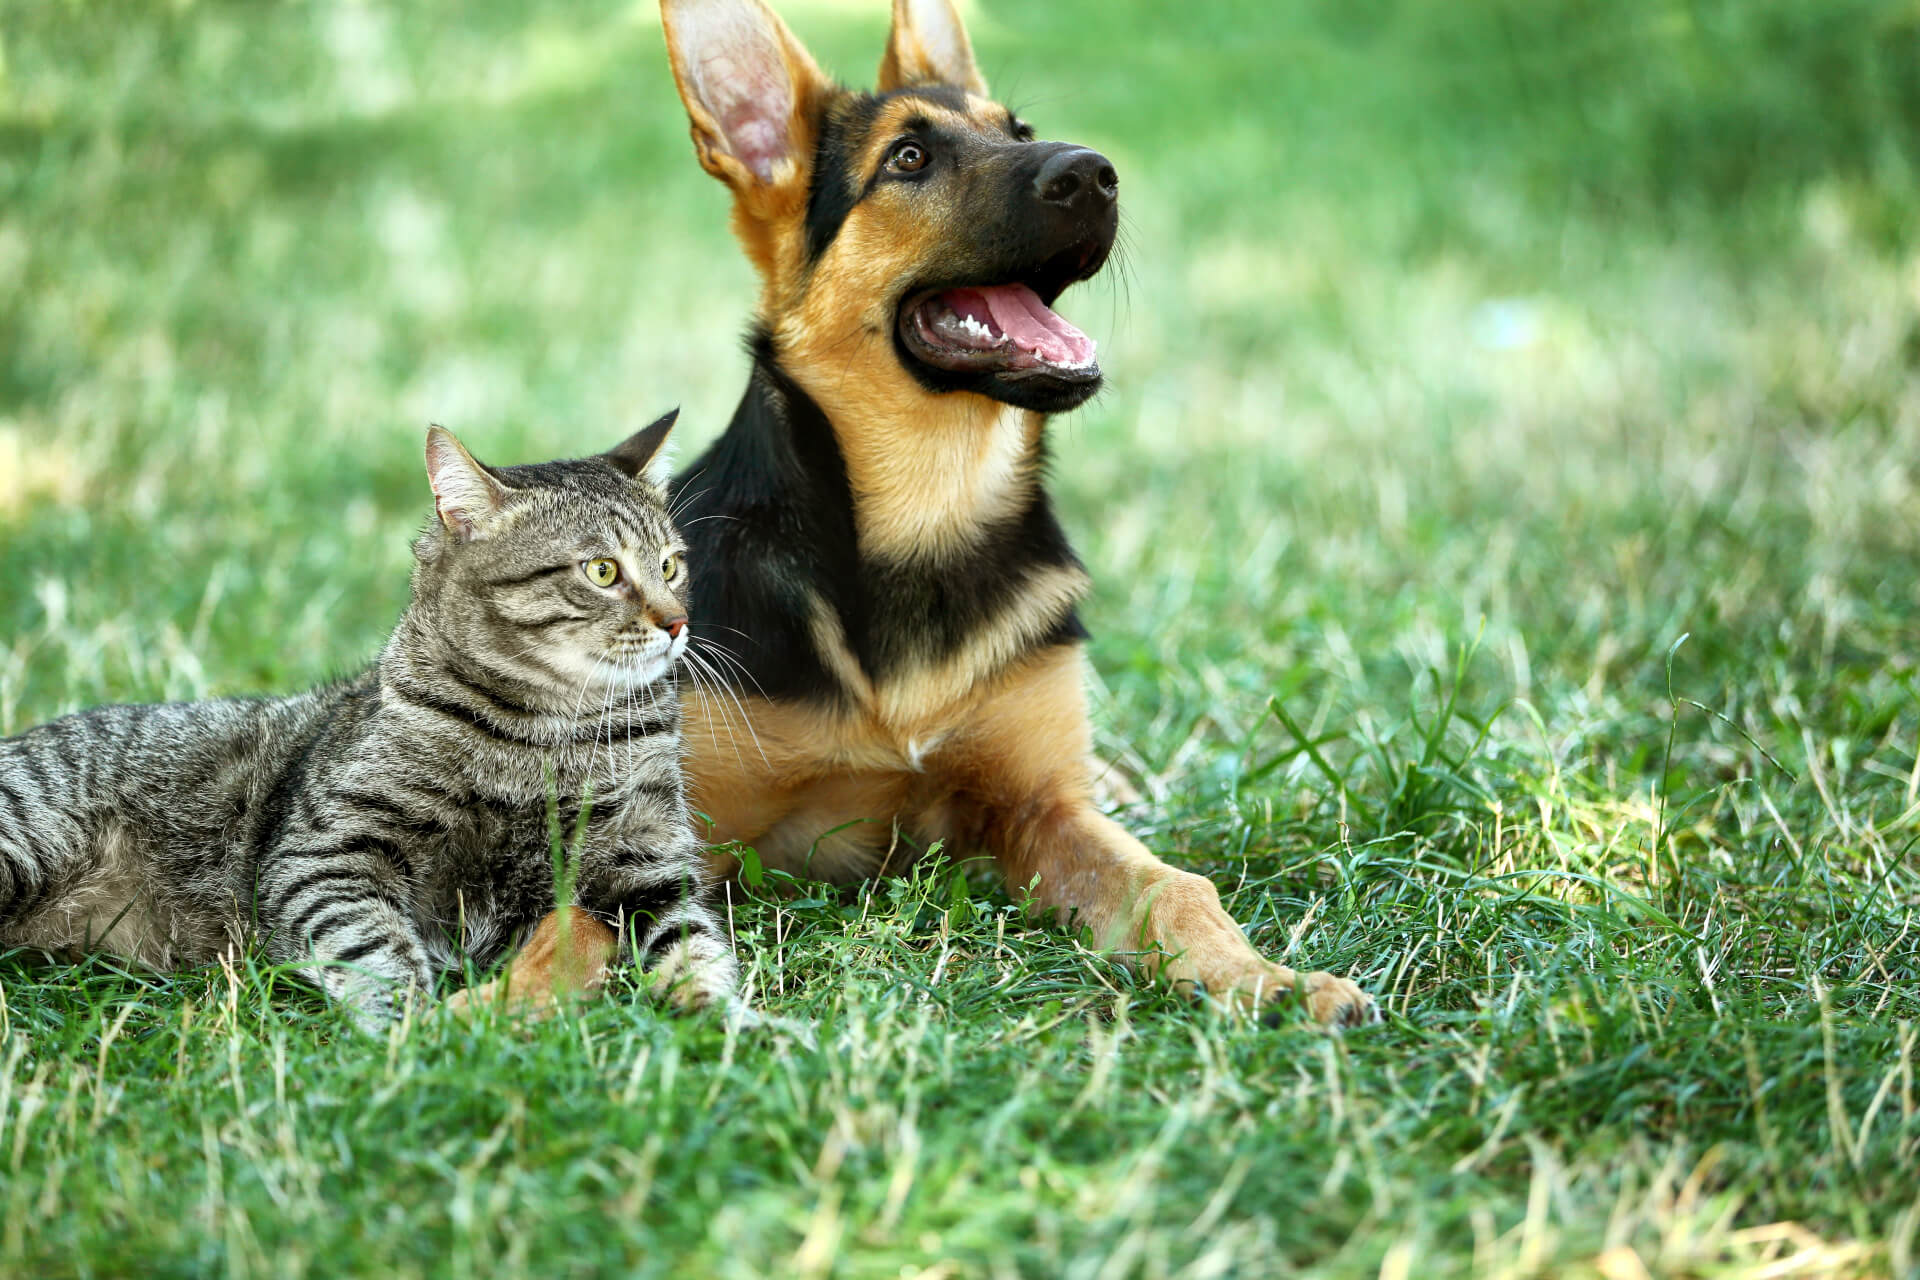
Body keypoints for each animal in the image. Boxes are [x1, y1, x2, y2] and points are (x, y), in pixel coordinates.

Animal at [0, 416, 741, 1036]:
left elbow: (692, 942)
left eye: (671, 564)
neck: (548, 732)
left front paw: (726, 1021)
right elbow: (372, 947)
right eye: (603, 570)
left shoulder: (645, 858)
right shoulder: (328, 852)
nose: (678, 623)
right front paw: (410, 1032)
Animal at [480, 0, 1382, 1028]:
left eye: (1019, 132)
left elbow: (1175, 889)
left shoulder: (1040, 806)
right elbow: (575, 920)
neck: (927, 512)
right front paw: (484, 1010)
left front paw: (1270, 980)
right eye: (908, 158)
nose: (1096, 173)